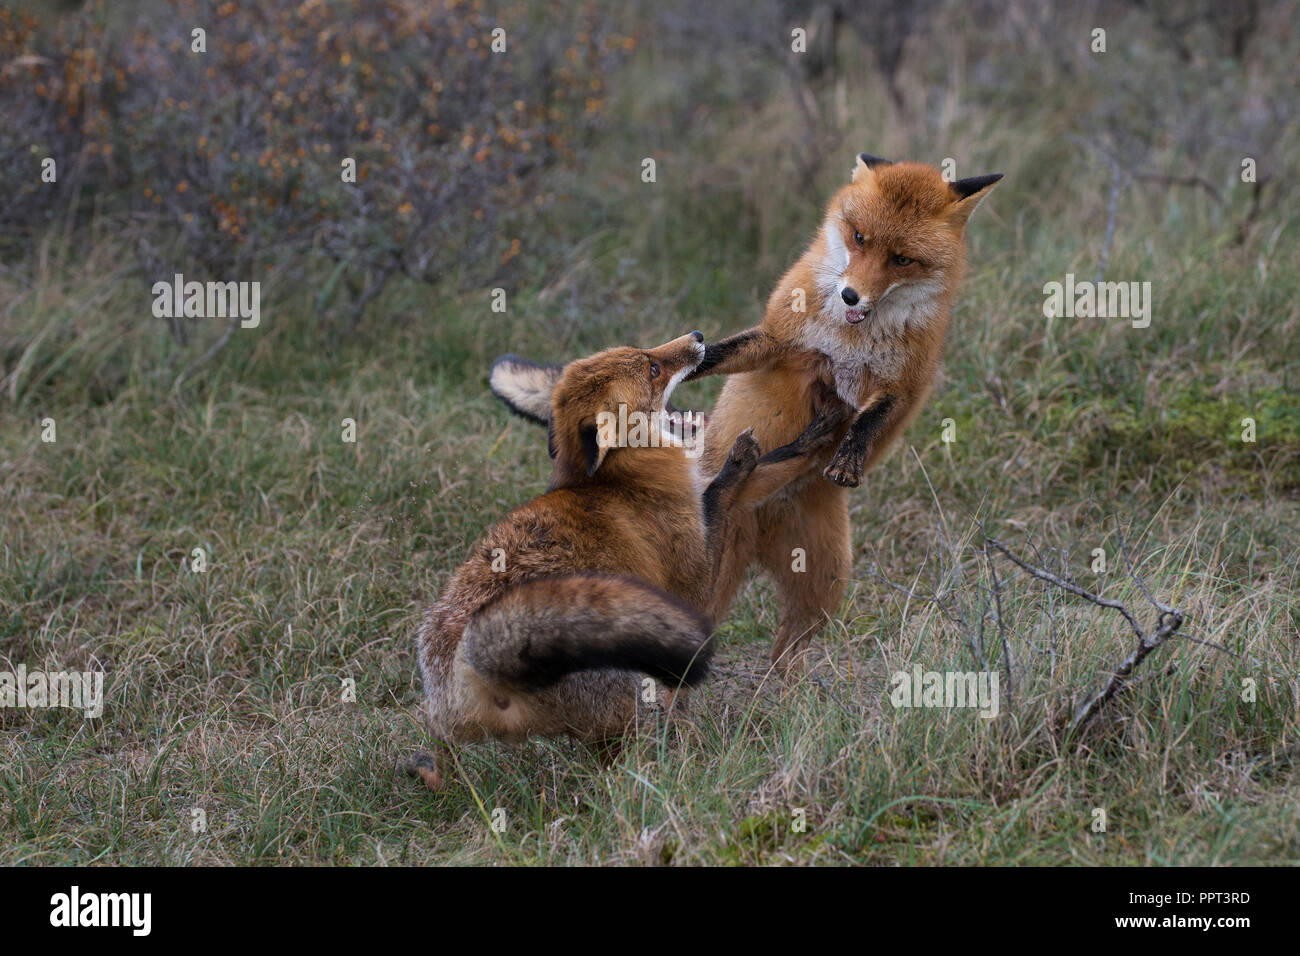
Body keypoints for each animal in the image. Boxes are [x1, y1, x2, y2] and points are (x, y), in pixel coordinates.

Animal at [488, 155, 1003, 671]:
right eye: (859, 238)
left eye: (902, 259)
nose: (851, 296)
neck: (854, 337)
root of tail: (758, 524)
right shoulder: (779, 339)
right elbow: (724, 351)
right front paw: (685, 357)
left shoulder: (903, 385)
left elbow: (870, 420)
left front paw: (847, 457)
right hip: (713, 579)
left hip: (822, 589)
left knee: (788, 653)